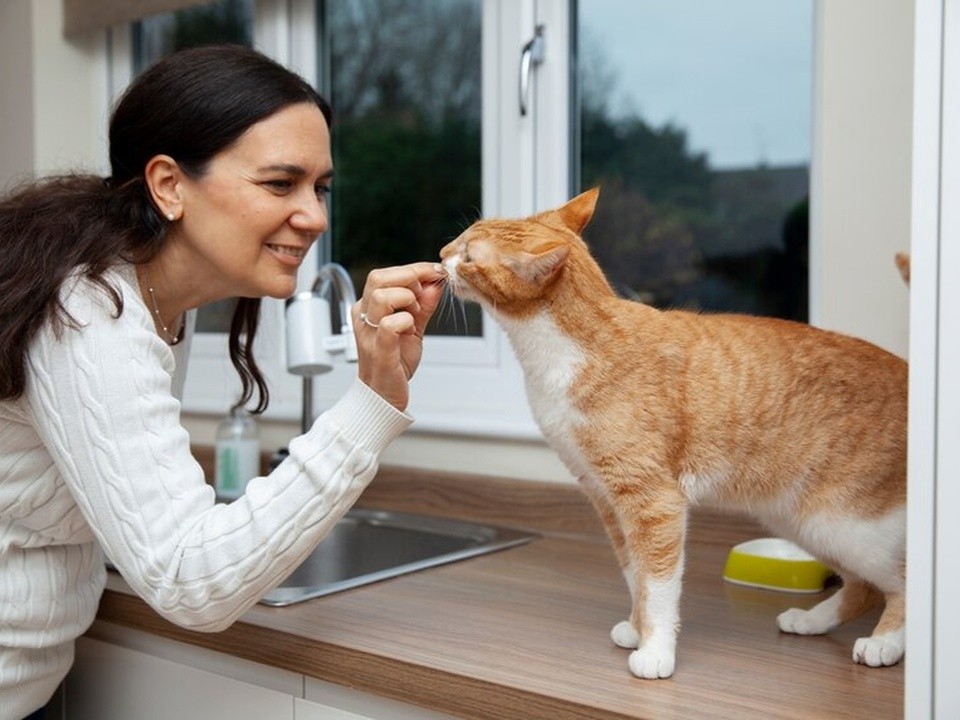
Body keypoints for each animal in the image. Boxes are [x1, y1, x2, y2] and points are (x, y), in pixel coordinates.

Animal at [438, 187, 904, 680]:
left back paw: (884, 642)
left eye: (469, 255)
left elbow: (658, 582)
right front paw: (636, 627)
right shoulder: (606, 497)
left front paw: (657, 649)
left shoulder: (652, 500)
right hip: (802, 522)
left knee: (901, 583)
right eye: (461, 240)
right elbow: (635, 574)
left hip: (847, 525)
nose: (441, 254)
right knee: (863, 587)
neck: (566, 352)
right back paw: (812, 620)